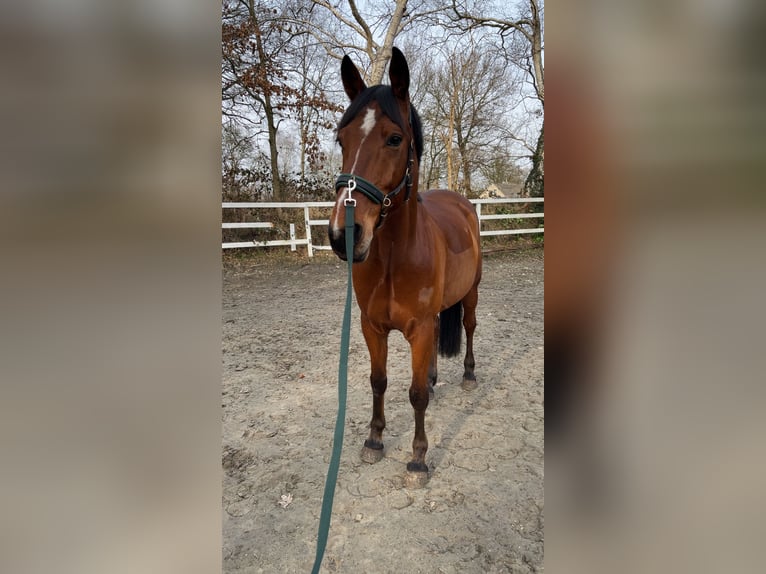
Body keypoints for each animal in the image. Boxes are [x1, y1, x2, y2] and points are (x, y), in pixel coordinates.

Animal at [328, 47, 483, 488]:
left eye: (394, 139)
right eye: (341, 140)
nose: (343, 234)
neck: (396, 258)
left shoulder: (419, 328)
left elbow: (414, 396)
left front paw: (417, 458)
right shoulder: (372, 326)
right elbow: (378, 382)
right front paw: (374, 440)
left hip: (471, 294)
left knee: (468, 327)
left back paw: (467, 375)